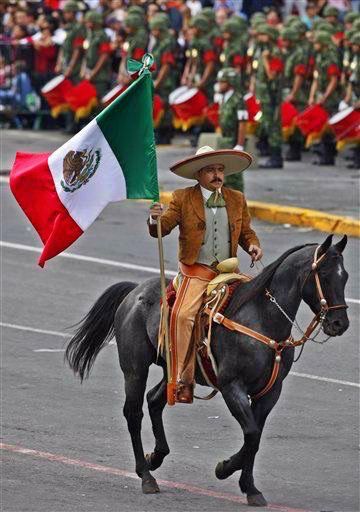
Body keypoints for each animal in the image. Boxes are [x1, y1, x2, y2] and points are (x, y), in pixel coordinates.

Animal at [64, 234, 348, 506]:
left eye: (344, 276)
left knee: (154, 401)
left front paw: (249, 487)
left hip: (176, 371)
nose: (339, 323)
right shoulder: (232, 387)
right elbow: (251, 434)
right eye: (324, 274)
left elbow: (254, 439)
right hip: (135, 369)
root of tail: (135, 291)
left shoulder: (269, 393)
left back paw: (156, 456)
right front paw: (225, 469)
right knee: (134, 413)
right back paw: (146, 475)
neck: (262, 319)